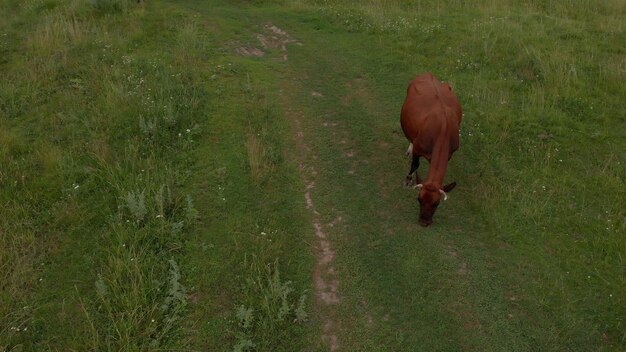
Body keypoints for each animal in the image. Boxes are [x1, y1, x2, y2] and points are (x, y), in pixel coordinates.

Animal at [400, 72, 458, 227]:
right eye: (419, 199)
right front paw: (408, 180)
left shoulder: (448, 154)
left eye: (436, 203)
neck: (442, 129)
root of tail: (428, 74)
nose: (423, 222)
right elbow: (415, 164)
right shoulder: (418, 149)